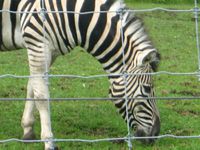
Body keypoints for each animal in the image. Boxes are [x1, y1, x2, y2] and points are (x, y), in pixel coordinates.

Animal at [0, 0, 159, 149]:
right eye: (147, 89)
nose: (156, 135)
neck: (72, 14)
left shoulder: (50, 51)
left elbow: (31, 88)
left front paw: (28, 130)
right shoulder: (38, 44)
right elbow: (42, 97)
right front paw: (48, 141)